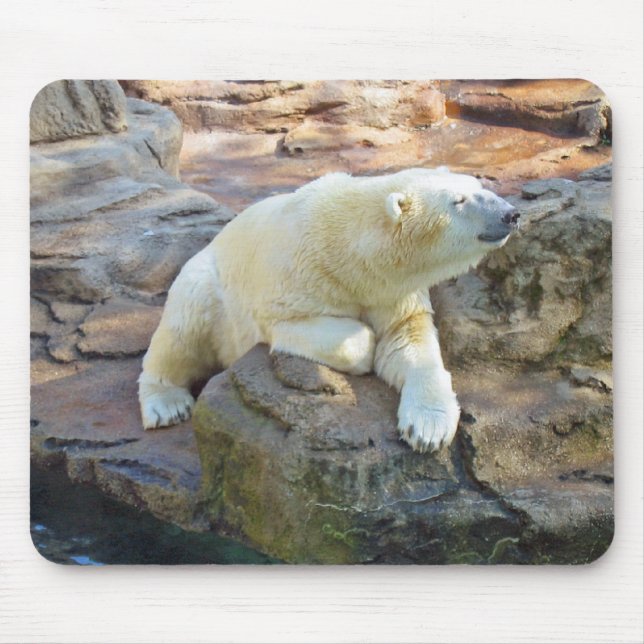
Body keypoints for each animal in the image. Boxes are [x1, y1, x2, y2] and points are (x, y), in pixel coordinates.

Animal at [138, 167, 519, 452]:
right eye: (459, 200)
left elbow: (408, 338)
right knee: (181, 331)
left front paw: (428, 428)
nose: (511, 214)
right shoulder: (292, 282)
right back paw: (167, 405)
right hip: (207, 285)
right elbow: (303, 327)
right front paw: (364, 352)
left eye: (479, 187)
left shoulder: (392, 292)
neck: (350, 251)